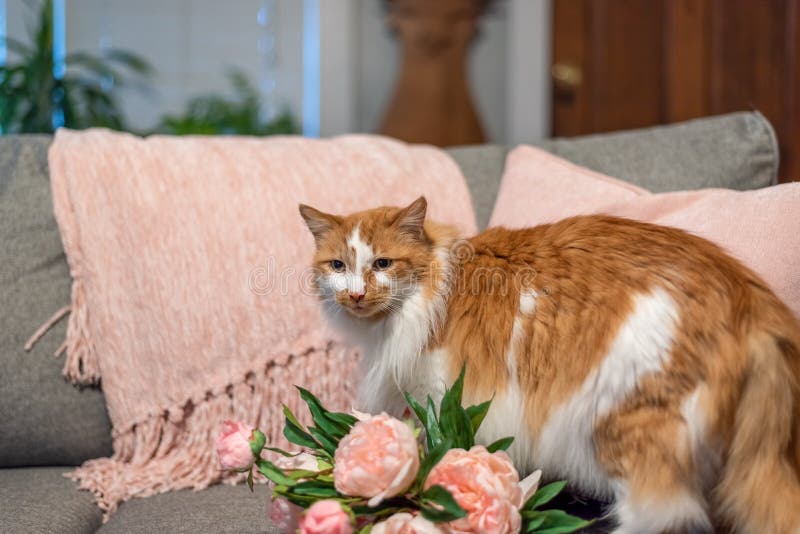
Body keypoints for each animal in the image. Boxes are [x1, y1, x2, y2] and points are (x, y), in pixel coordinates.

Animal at [300, 198, 800, 534]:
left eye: (383, 263)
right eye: (338, 266)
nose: (356, 295)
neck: (437, 292)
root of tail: (747, 298)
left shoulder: (445, 398)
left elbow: (440, 453)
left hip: (628, 425)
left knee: (661, 514)